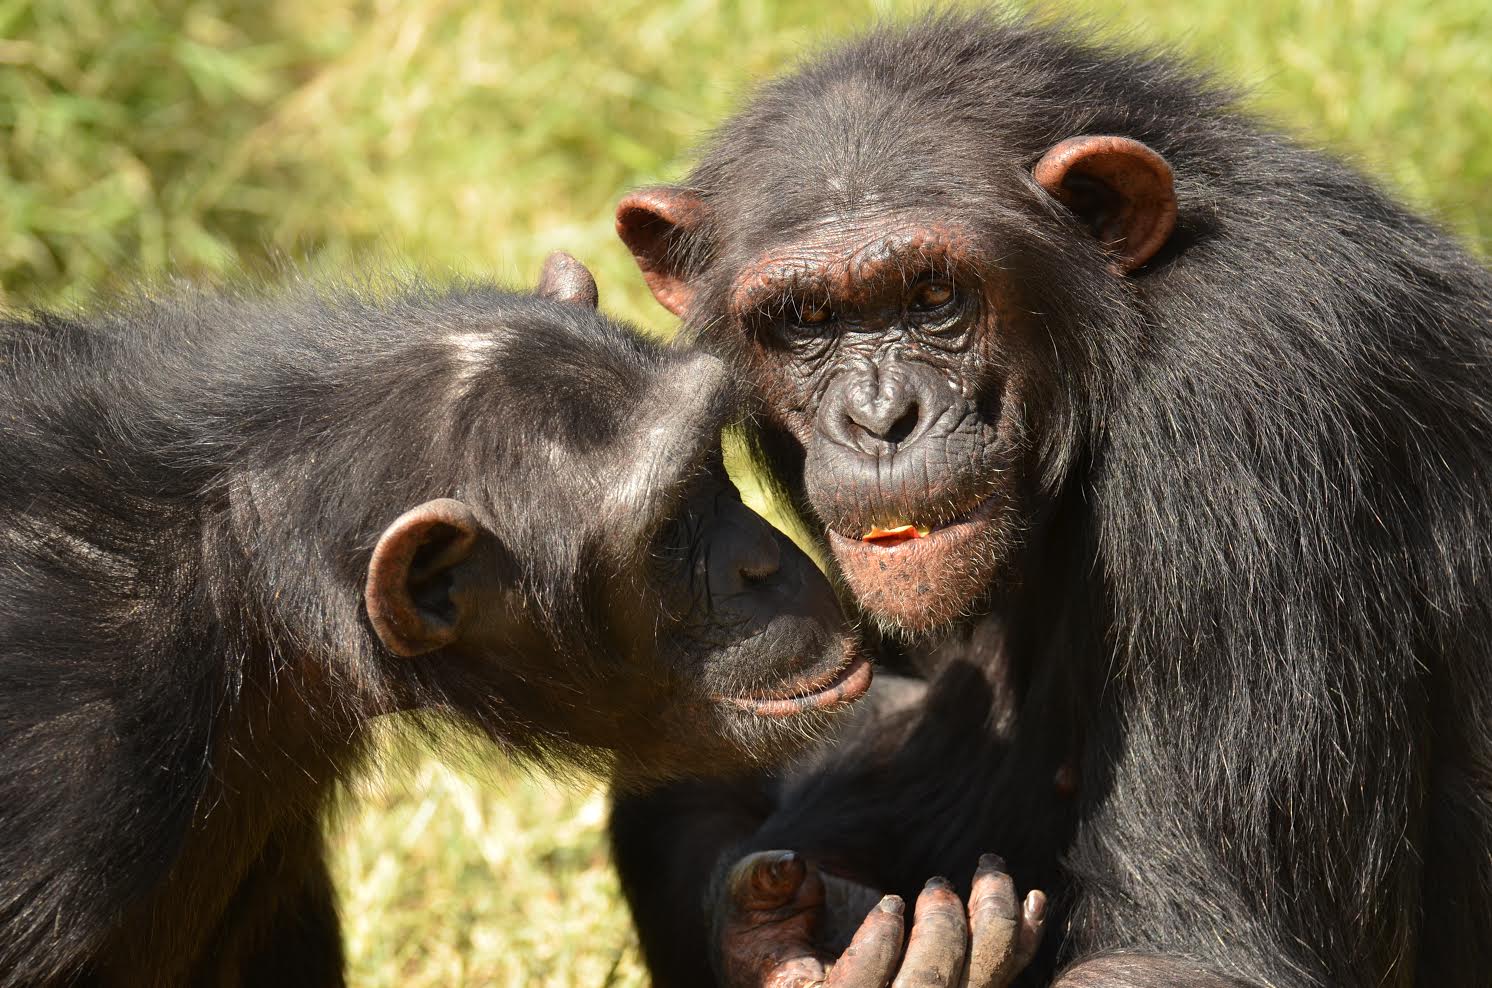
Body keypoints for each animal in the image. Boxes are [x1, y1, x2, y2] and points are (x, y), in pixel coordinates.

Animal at [605, 13, 1492, 988]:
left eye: (934, 294)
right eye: (805, 319)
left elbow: (1191, 947)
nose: (880, 418)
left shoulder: (1252, 404)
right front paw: (793, 929)